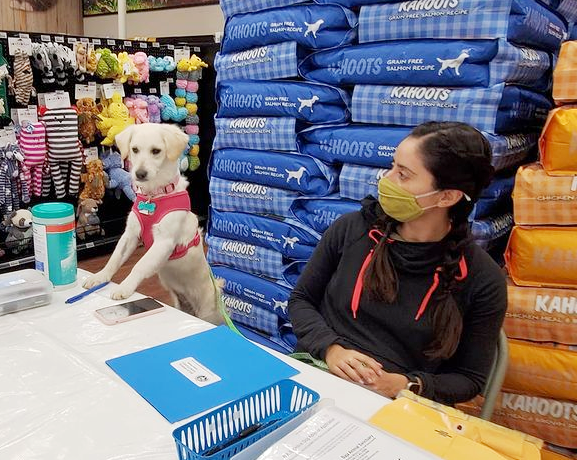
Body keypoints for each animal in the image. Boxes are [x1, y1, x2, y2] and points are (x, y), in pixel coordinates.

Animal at [83, 122, 223, 324]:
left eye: (156, 151)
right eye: (134, 149)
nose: (140, 174)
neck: (154, 196)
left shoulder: (164, 242)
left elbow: (139, 265)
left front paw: (124, 287)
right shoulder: (130, 235)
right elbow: (114, 258)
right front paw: (100, 277)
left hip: (207, 312)